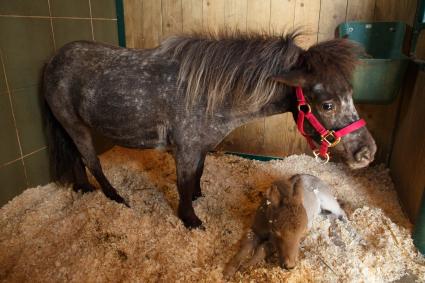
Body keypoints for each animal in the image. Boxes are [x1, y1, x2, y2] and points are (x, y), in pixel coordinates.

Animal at [43, 32, 374, 230]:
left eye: (351, 93)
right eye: (328, 105)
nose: (367, 153)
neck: (205, 93)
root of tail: (52, 61)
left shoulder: (199, 148)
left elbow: (197, 175)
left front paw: (198, 198)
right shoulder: (186, 149)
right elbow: (183, 183)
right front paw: (190, 219)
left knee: (76, 159)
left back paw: (83, 189)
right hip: (75, 125)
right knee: (92, 162)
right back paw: (115, 198)